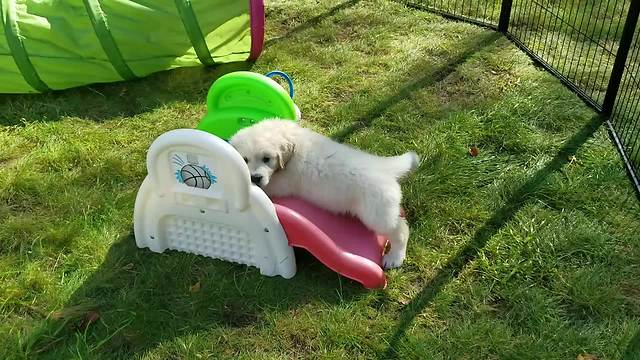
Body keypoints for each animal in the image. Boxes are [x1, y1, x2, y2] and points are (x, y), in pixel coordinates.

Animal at [230, 119, 420, 268]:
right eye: (245, 159)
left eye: (266, 159)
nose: (255, 178)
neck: (291, 141)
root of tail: (384, 167)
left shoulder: (284, 182)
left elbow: (269, 187)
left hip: (377, 215)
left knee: (400, 230)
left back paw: (395, 257)